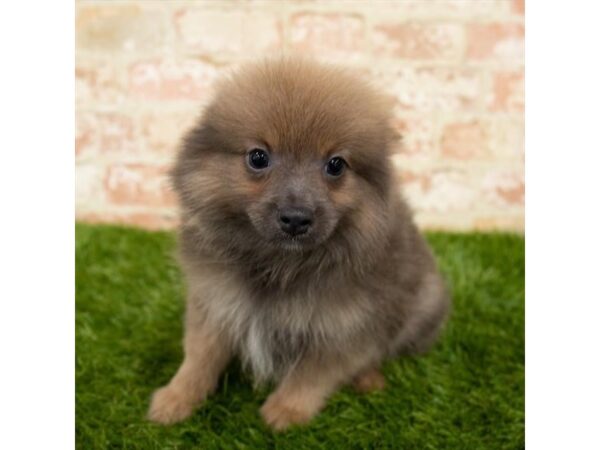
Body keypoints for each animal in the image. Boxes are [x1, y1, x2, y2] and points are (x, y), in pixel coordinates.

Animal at [149, 58, 450, 430]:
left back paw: (369, 379)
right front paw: (176, 398)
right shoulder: (216, 302)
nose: (296, 218)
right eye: (258, 158)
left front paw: (286, 410)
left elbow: (312, 374)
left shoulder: (345, 327)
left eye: (335, 165)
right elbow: (199, 357)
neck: (280, 264)